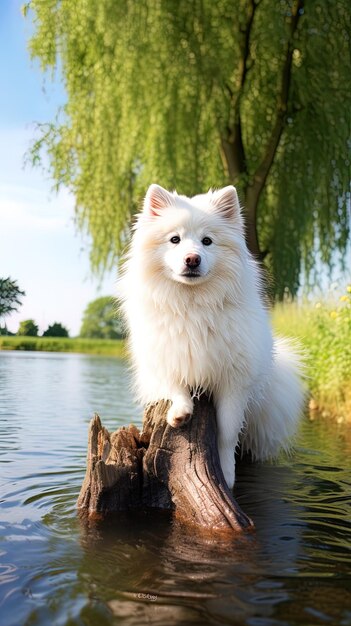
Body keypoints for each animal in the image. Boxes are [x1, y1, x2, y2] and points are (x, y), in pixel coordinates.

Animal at [119, 183, 306, 486]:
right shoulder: (165, 357)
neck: (192, 302)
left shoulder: (234, 381)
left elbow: (227, 434)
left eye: (207, 241)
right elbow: (175, 386)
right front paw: (180, 413)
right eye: (175, 239)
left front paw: (227, 474)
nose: (192, 259)